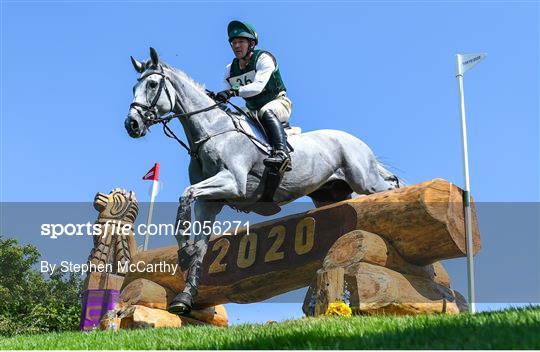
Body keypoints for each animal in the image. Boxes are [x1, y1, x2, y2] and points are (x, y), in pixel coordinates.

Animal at [124, 48, 398, 314]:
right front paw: (185, 291)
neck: (212, 131)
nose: (131, 125)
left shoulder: (233, 183)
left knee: (390, 187)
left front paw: (184, 251)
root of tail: (354, 140)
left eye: (152, 84)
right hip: (330, 194)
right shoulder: (210, 202)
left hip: (364, 180)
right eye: (134, 87)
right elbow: (199, 245)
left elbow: (186, 194)